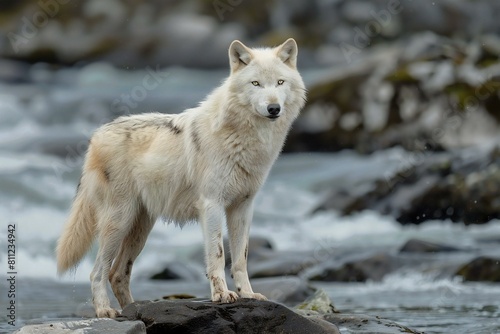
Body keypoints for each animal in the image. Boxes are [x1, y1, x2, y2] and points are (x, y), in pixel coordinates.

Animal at [54, 37, 304, 318]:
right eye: (256, 84)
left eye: (280, 83)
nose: (274, 108)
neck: (245, 139)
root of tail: (96, 135)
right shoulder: (212, 205)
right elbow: (217, 255)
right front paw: (222, 295)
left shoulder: (243, 207)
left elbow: (241, 258)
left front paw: (248, 295)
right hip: (118, 222)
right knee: (97, 271)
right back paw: (106, 312)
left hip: (139, 229)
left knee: (117, 273)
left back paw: (134, 310)